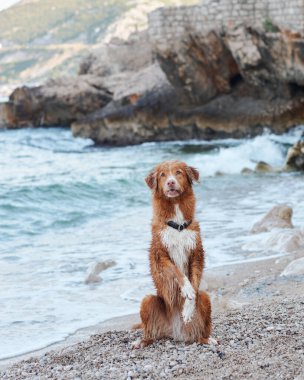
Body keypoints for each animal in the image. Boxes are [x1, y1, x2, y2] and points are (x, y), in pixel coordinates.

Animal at [132, 159, 214, 348]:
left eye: (178, 173)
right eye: (163, 175)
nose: (170, 182)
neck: (178, 225)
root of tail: (176, 332)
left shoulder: (196, 255)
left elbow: (194, 283)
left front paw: (188, 307)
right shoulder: (161, 257)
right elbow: (178, 273)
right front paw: (187, 289)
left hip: (206, 299)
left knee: (202, 331)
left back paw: (208, 339)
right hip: (147, 301)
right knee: (150, 333)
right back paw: (141, 342)